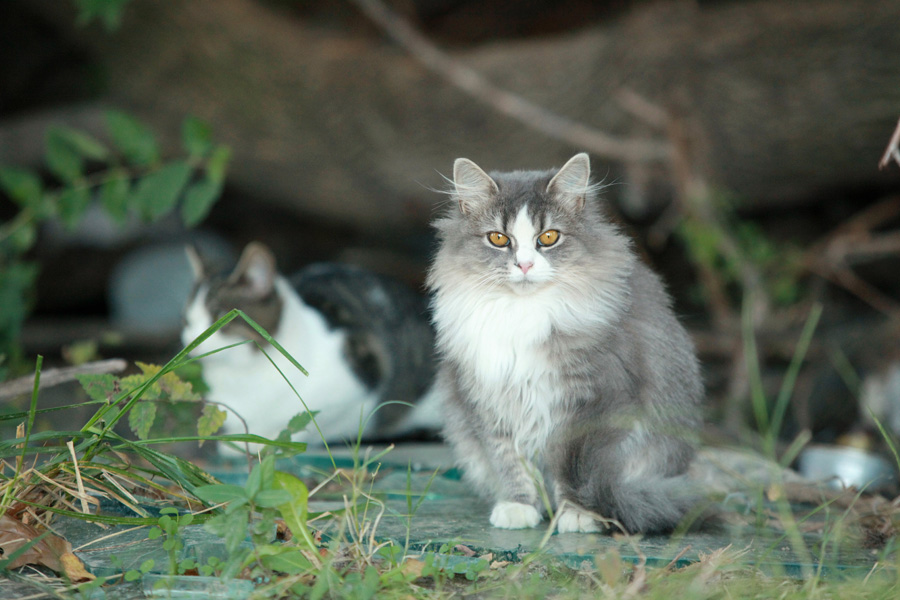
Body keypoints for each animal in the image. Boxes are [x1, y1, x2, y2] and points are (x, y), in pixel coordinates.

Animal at [181, 241, 442, 452]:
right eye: (188, 320)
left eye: (217, 317)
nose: (190, 340)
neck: (242, 376)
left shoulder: (358, 384)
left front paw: (269, 440)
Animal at [428, 154, 704, 536]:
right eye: (498, 238)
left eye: (548, 237)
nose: (525, 264)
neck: (522, 314)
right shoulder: (487, 400)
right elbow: (509, 461)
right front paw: (519, 507)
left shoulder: (591, 400)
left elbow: (572, 469)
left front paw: (577, 514)